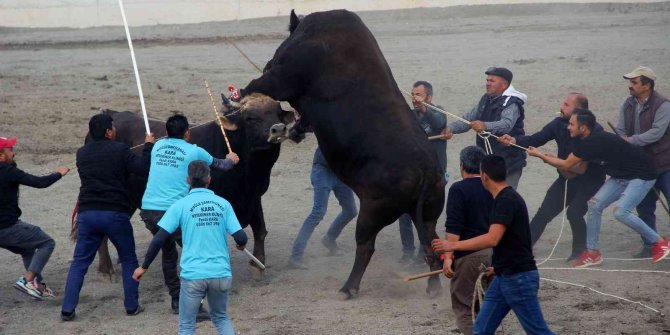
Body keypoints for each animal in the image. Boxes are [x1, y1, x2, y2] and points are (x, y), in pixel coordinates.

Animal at [76, 94, 292, 278]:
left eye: (277, 112)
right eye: (249, 117)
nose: (278, 129)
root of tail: (111, 115)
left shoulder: (254, 196)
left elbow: (260, 229)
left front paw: (258, 265)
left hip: (127, 199)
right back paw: (106, 269)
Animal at [242, 9, 446, 300]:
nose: (270, 61)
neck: (315, 35)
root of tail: (427, 170)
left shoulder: (282, 78)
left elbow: (258, 83)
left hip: (372, 214)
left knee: (366, 247)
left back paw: (349, 287)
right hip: (428, 214)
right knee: (432, 246)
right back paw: (433, 287)